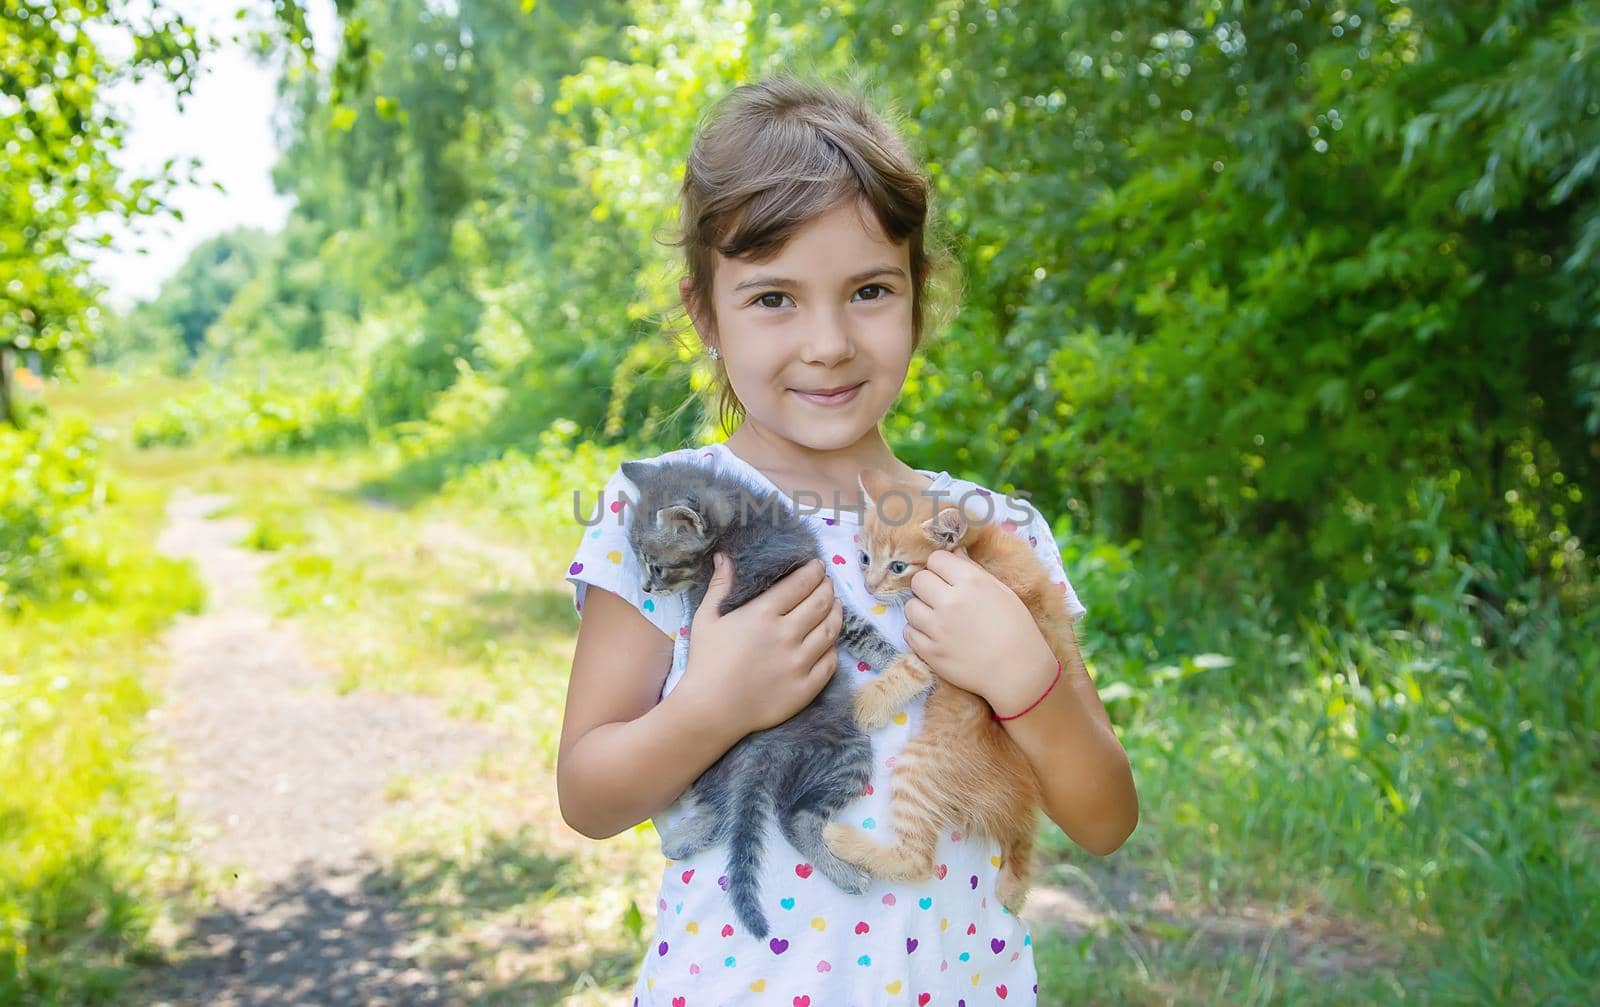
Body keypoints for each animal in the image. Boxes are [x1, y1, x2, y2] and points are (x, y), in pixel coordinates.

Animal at [614, 461, 908, 941]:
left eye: (656, 566)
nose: (645, 587)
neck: (738, 529)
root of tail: (760, 748)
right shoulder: (814, 597)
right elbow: (866, 633)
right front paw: (906, 664)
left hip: (709, 762)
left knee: (730, 810)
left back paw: (682, 839)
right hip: (850, 752)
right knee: (795, 821)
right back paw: (846, 874)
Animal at [819, 467, 1081, 909]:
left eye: (898, 566)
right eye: (866, 558)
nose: (870, 586)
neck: (975, 549)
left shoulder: (952, 631)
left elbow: (912, 666)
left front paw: (868, 704)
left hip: (919, 765)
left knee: (918, 863)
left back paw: (842, 839)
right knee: (1022, 831)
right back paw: (1015, 886)